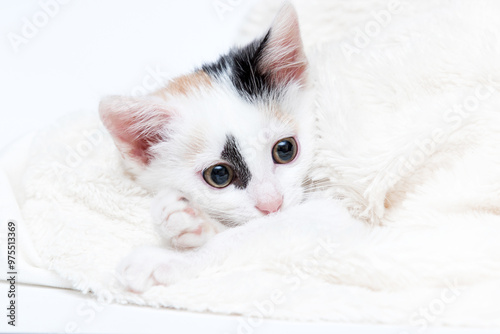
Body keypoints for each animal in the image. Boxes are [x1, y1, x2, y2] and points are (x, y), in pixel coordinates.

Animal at [99, 1, 500, 290]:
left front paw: (168, 258)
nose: (271, 203)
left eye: (285, 150)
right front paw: (184, 222)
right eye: (219, 175)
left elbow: (279, 229)